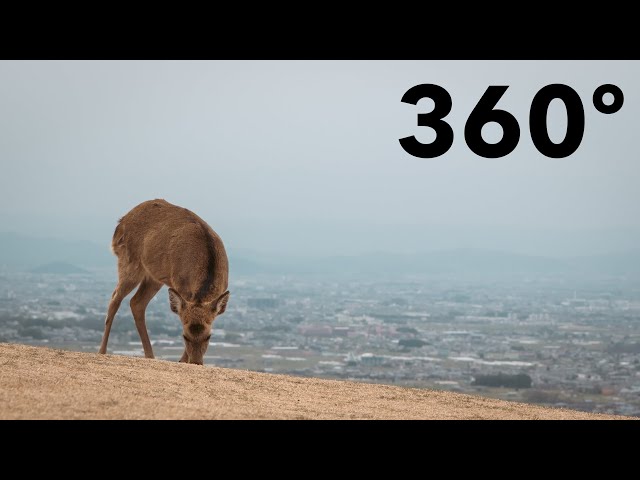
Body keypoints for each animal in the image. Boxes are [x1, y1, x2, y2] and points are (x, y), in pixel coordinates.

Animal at [97, 199, 230, 364]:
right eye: (184, 336)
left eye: (209, 336)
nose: (196, 362)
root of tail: (120, 224)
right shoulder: (180, 286)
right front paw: (182, 361)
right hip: (129, 263)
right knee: (115, 298)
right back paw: (102, 351)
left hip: (154, 277)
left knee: (136, 302)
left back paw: (150, 355)